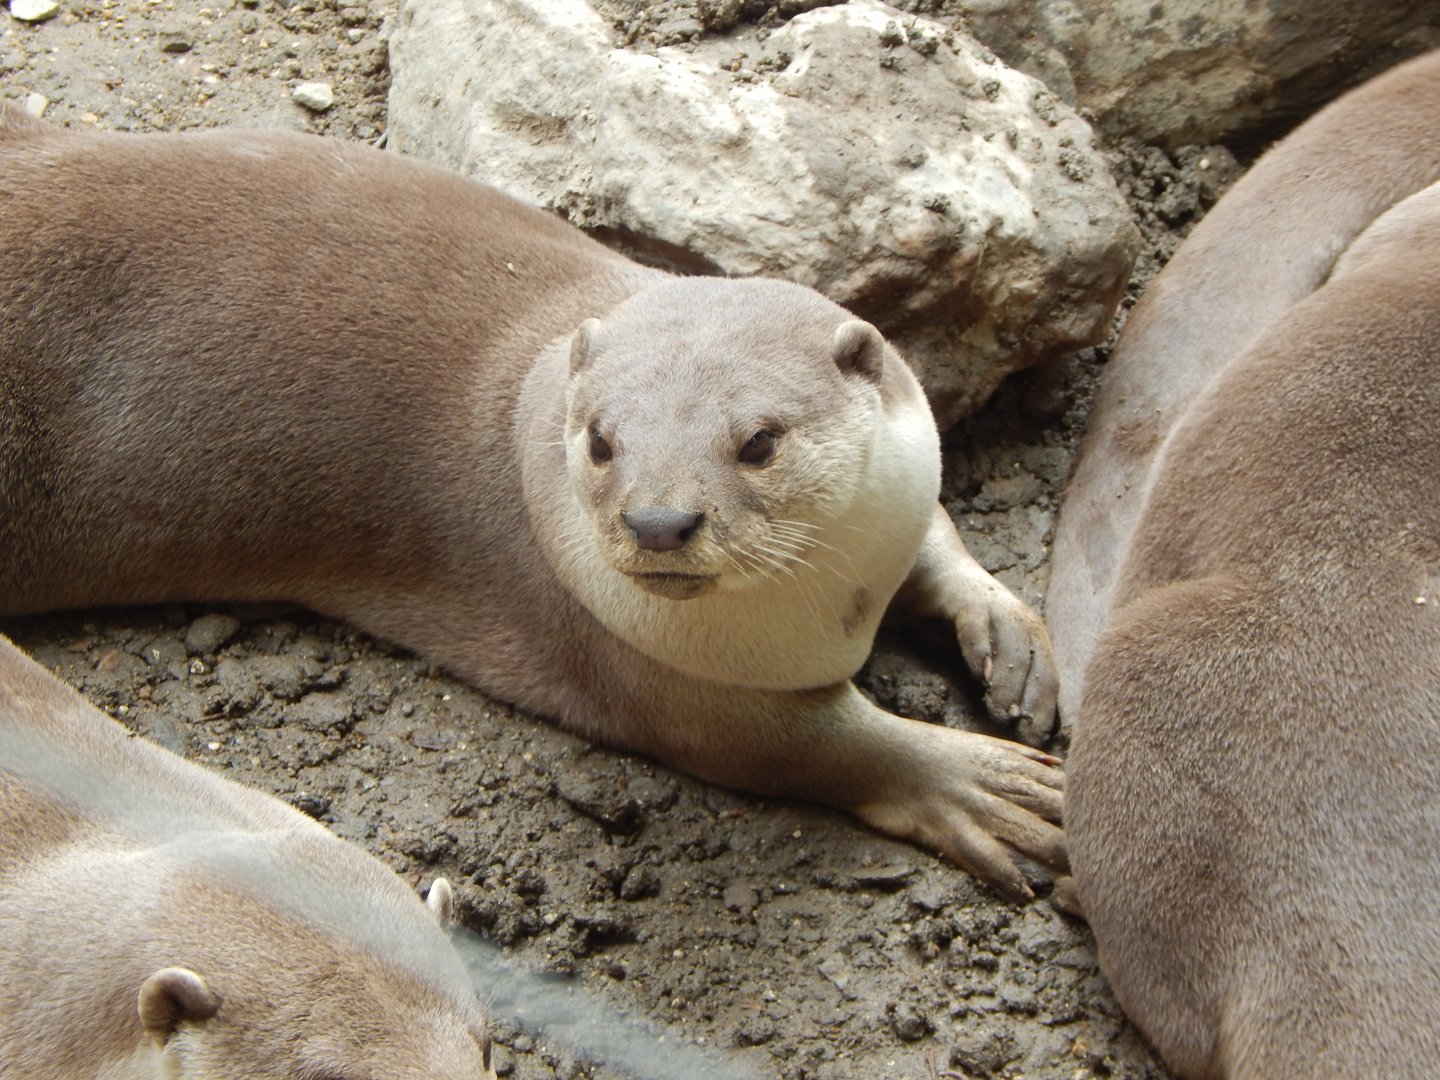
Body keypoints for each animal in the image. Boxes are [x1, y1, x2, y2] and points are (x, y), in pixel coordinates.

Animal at [0, 107, 1062, 900]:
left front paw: (1008, 638)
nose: (659, 523)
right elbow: (822, 750)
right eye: (599, 441)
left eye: (759, 442)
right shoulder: (675, 683)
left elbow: (939, 540)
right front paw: (966, 780)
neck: (837, 604)